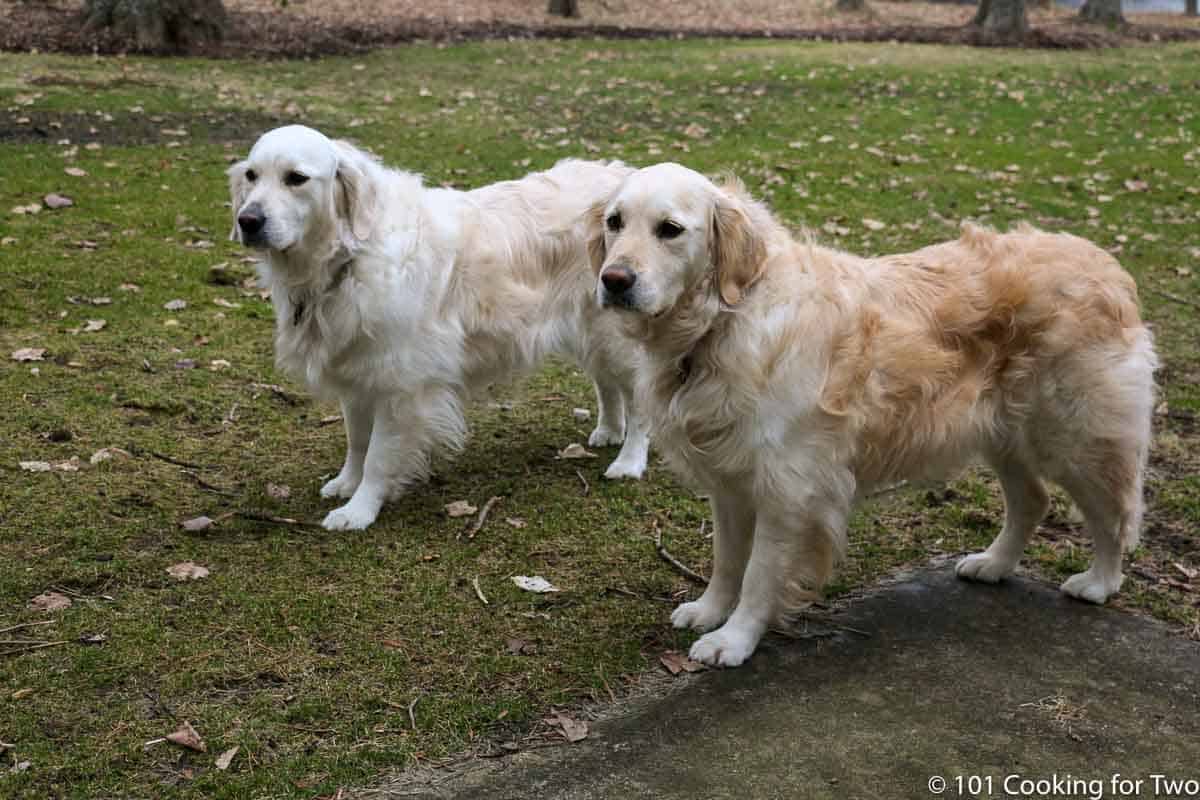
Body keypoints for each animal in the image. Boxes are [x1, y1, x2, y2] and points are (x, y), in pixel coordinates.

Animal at [229, 126, 652, 532]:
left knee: (639, 401)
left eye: (296, 178)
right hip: (593, 333)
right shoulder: (359, 370)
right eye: (252, 175)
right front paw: (346, 483)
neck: (351, 256)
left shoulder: (401, 385)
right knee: (607, 384)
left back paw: (629, 460)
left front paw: (359, 510)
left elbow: (378, 456)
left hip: (616, 336)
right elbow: (357, 441)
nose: (247, 221)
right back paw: (609, 429)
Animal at [595, 163, 1156, 671]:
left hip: (1079, 437)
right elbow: (728, 558)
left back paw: (1099, 582)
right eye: (614, 222)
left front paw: (734, 640)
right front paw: (710, 610)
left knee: (1115, 514)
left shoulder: (788, 487)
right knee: (1033, 501)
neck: (724, 322)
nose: (613, 281)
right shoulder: (731, 479)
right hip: (1002, 432)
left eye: (670, 229)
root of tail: (1103, 261)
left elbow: (758, 573)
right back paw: (994, 564)